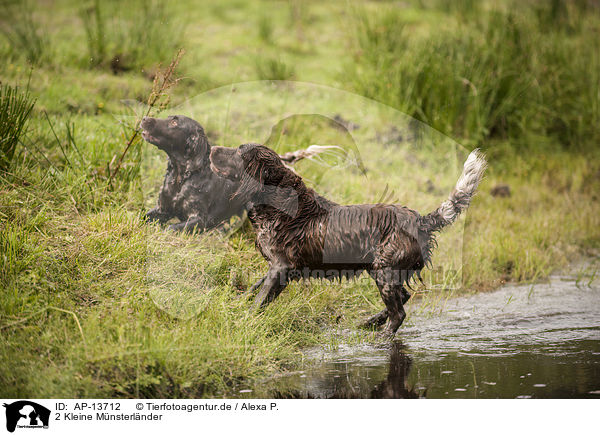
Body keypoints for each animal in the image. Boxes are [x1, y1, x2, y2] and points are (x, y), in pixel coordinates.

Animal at [211, 145, 488, 336]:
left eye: (237, 152)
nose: (212, 149)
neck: (276, 200)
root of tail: (420, 220)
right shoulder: (278, 267)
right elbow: (253, 289)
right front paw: (234, 305)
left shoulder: (282, 267)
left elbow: (259, 300)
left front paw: (244, 321)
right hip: (385, 270)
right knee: (404, 296)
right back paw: (370, 322)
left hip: (384, 271)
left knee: (399, 312)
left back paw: (381, 338)